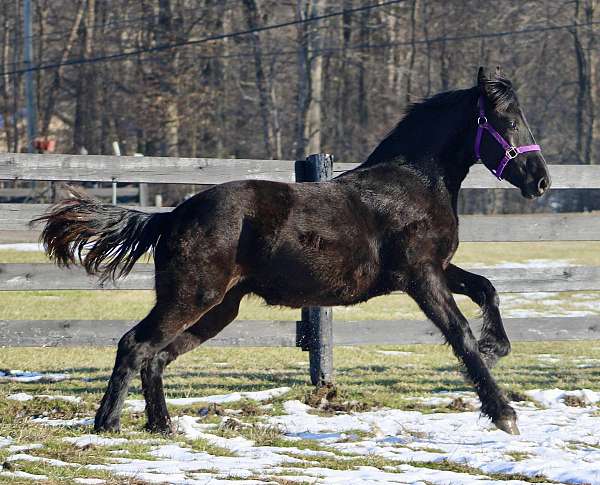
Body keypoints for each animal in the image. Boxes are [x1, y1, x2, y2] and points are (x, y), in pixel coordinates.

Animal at [35, 67, 552, 434]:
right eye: (507, 120)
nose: (541, 181)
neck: (414, 184)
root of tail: (174, 215)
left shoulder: (437, 268)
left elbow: (486, 288)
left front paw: (497, 345)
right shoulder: (421, 276)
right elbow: (460, 335)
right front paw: (503, 412)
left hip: (218, 309)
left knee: (157, 356)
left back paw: (162, 427)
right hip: (191, 297)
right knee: (134, 345)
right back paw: (108, 424)